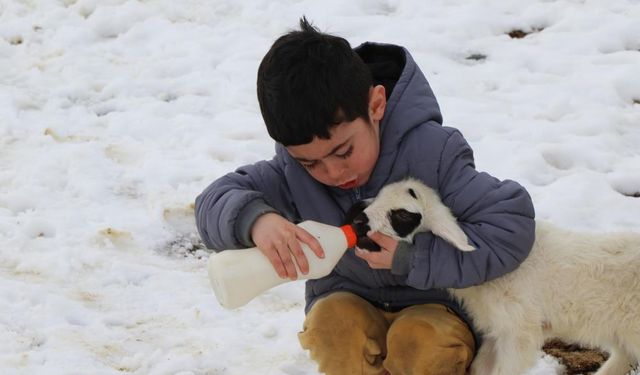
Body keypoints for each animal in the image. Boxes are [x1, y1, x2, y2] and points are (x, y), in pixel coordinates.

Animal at [356, 178, 640, 375]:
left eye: (403, 213)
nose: (358, 218)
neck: (487, 277)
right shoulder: (497, 332)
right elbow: (482, 368)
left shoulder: (518, 330)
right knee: (622, 358)